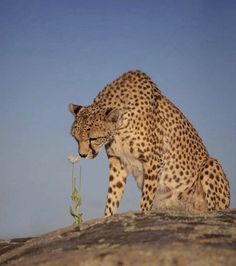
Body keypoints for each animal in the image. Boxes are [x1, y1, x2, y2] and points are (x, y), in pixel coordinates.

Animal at [68, 70, 230, 216]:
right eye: (76, 138)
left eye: (92, 139)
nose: (82, 155)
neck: (120, 127)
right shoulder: (118, 162)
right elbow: (112, 196)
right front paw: (107, 217)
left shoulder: (153, 161)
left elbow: (146, 199)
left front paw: (142, 213)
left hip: (211, 164)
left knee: (213, 208)